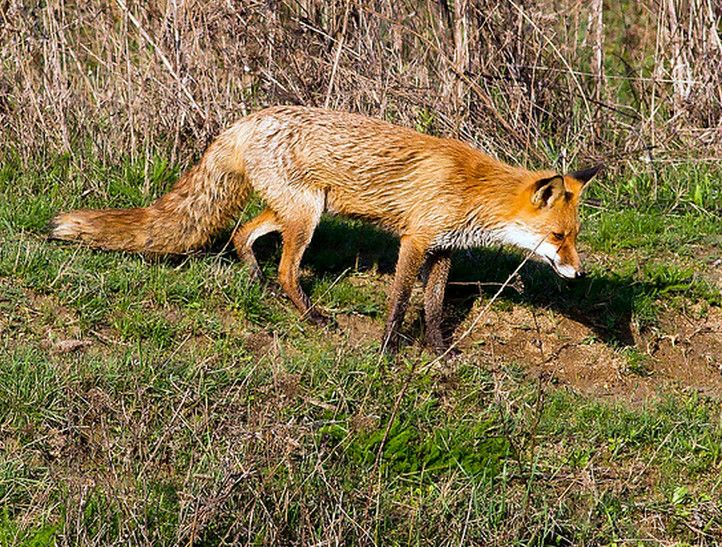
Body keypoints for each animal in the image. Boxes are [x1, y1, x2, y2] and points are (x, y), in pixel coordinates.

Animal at [50, 106, 600, 354]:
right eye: (558, 238)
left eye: (574, 238)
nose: (578, 275)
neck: (475, 190)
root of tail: (247, 120)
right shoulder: (415, 241)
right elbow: (400, 301)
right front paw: (387, 349)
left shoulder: (444, 251)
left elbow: (434, 306)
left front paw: (438, 350)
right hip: (306, 217)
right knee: (287, 269)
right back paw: (311, 316)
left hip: (295, 211)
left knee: (243, 235)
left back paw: (257, 282)